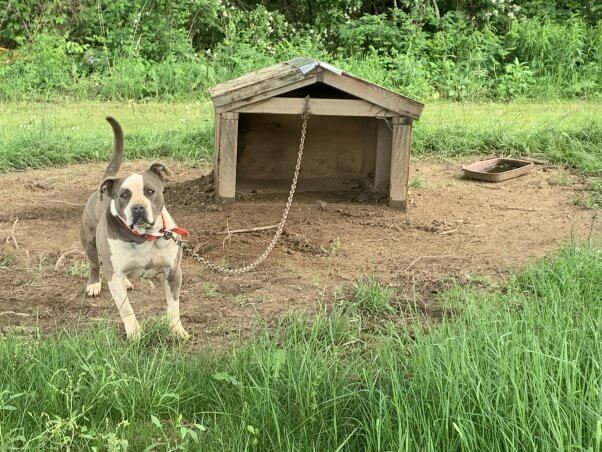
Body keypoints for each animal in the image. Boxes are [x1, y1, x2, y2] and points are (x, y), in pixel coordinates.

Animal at [79, 116, 188, 340]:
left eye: (150, 191)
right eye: (124, 195)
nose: (138, 207)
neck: (144, 237)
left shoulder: (173, 272)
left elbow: (174, 306)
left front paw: (177, 330)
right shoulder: (114, 274)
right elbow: (126, 309)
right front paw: (135, 334)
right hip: (90, 242)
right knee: (94, 265)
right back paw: (94, 284)